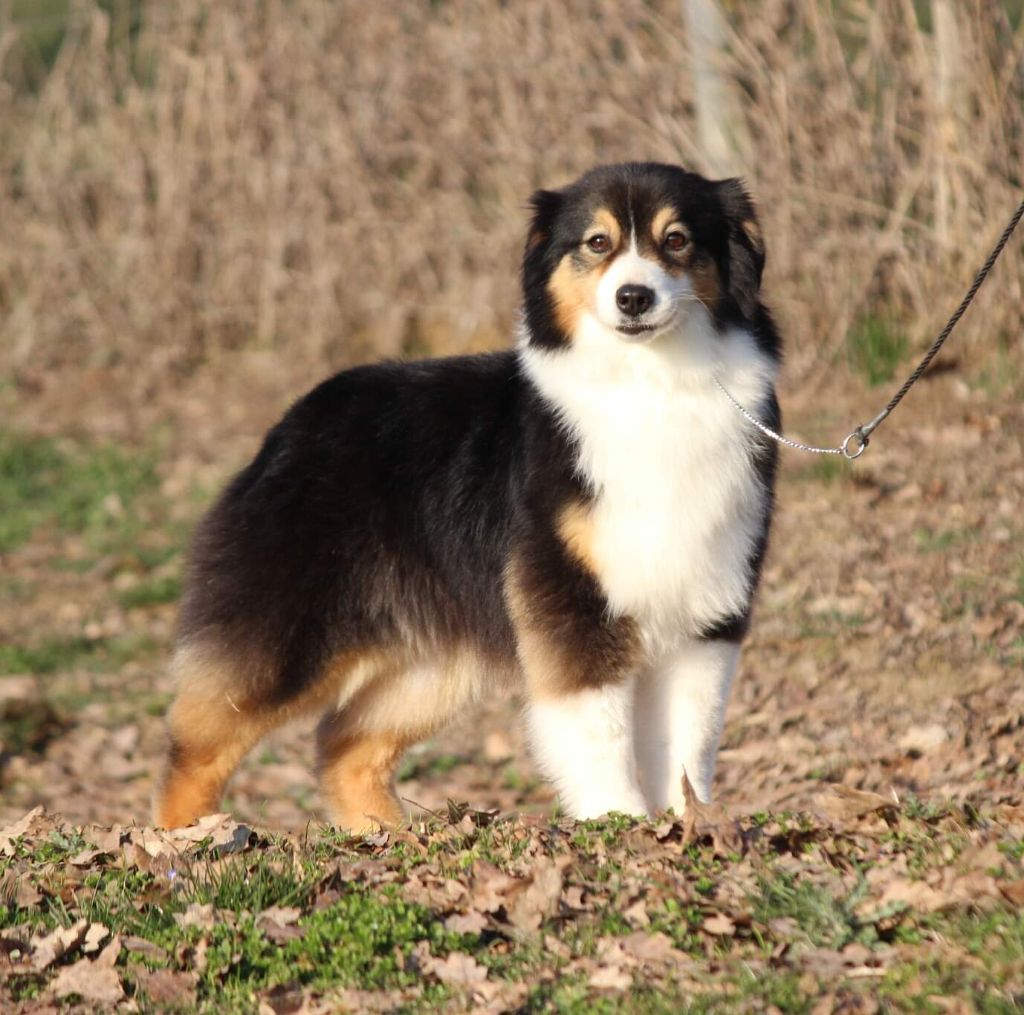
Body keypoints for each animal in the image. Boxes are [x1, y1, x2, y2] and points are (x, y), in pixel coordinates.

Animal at [153, 162, 781, 832]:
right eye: (596, 243)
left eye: (677, 239)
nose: (633, 297)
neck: (651, 382)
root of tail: (293, 422)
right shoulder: (573, 597)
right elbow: (600, 732)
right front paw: (618, 823)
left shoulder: (707, 610)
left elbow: (690, 737)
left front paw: (690, 822)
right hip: (288, 632)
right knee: (198, 745)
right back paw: (187, 840)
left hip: (433, 658)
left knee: (345, 744)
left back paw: (390, 837)